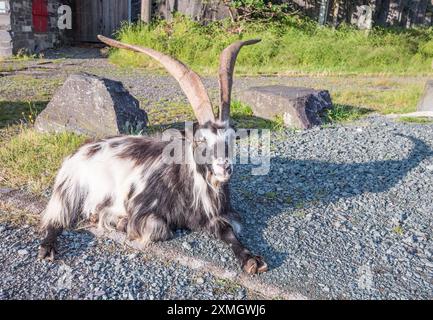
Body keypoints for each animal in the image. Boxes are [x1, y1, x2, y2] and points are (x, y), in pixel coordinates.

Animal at [38, 35, 266, 276]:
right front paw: (123, 224)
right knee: (56, 219)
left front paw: (251, 259)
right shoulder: (142, 207)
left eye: (231, 138)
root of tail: (83, 148)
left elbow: (229, 230)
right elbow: (160, 229)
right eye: (200, 140)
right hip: (69, 188)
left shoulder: (215, 215)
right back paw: (48, 247)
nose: (224, 168)